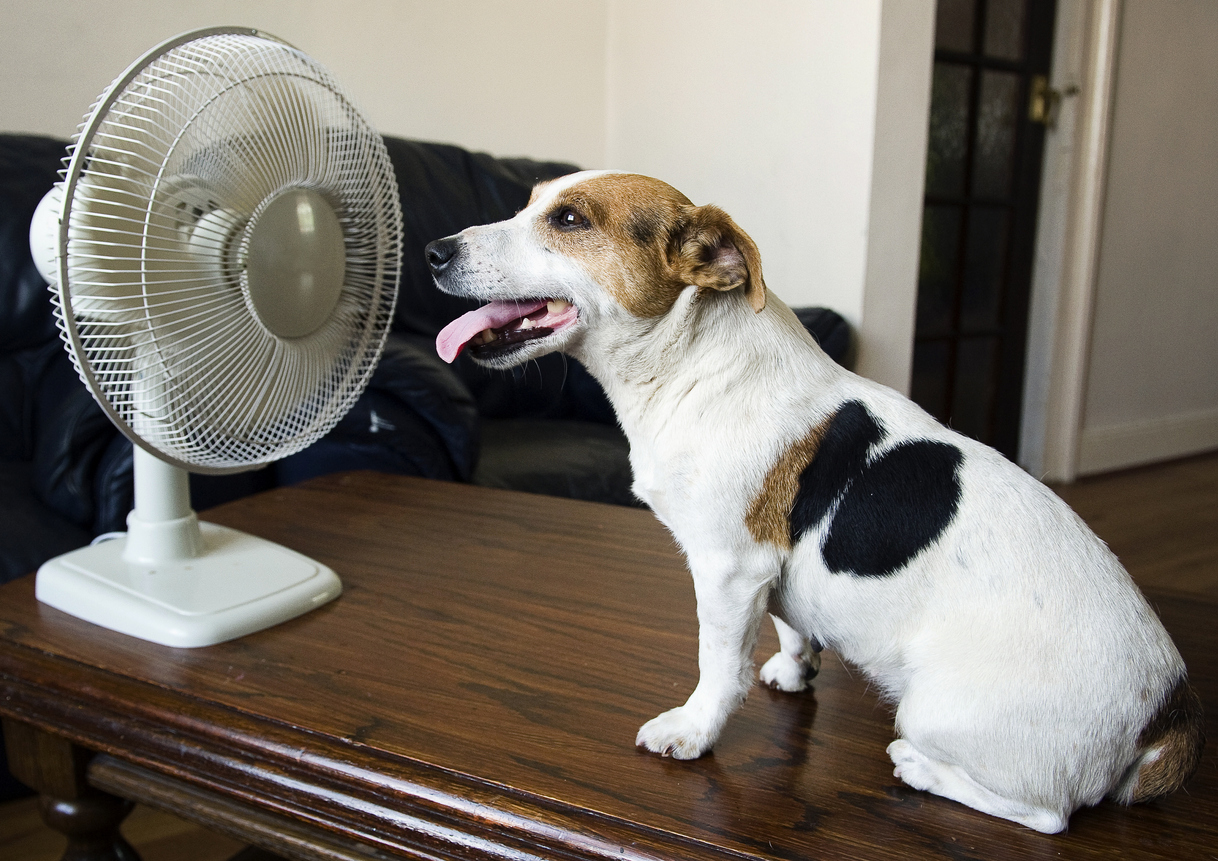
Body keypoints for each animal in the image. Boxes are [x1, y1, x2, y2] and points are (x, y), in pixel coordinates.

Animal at [423, 170, 1203, 832]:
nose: (433, 250)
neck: (695, 362)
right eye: (530, 202)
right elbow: (791, 624)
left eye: (570, 220)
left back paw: (922, 769)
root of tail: (1168, 715)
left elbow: (719, 666)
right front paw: (797, 671)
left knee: (1046, 815)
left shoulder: (728, 568)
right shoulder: (769, 572)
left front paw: (694, 732)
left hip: (935, 710)